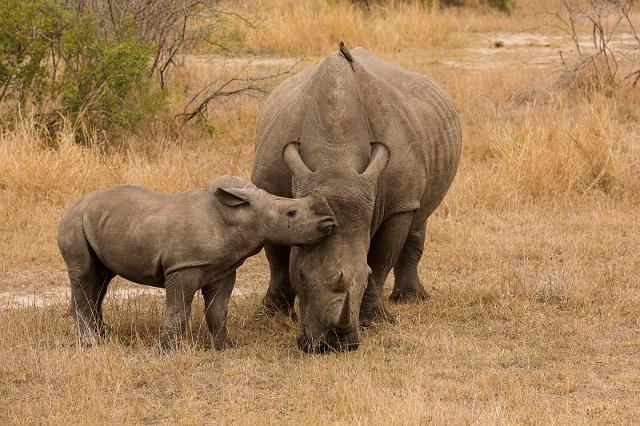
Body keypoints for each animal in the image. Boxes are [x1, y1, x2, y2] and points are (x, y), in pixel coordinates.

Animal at [56, 175, 336, 352]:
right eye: (291, 213)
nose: (330, 220)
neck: (240, 216)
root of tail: (72, 205)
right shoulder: (184, 266)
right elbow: (179, 310)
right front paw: (168, 351)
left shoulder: (223, 269)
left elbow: (218, 311)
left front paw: (226, 347)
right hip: (74, 222)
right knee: (83, 274)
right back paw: (90, 343)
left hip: (97, 222)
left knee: (100, 278)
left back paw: (103, 333)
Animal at [252, 45, 462, 352]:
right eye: (300, 275)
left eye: (363, 278)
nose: (333, 345)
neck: (335, 155)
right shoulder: (272, 192)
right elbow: (278, 260)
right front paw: (271, 315)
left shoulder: (398, 205)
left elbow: (380, 262)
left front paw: (376, 322)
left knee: (419, 215)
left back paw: (411, 299)